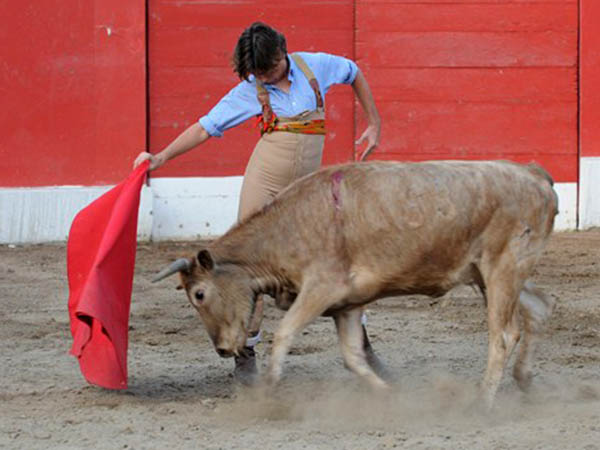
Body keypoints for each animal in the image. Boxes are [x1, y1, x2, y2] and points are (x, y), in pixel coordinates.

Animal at [152, 161, 556, 408]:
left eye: (199, 294)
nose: (222, 349)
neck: (287, 229)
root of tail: (535, 175)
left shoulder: (322, 288)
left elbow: (285, 333)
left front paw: (268, 392)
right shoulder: (346, 306)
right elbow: (352, 356)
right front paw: (388, 393)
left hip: (502, 270)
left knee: (502, 335)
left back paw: (483, 401)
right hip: (492, 275)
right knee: (539, 308)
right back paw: (524, 378)